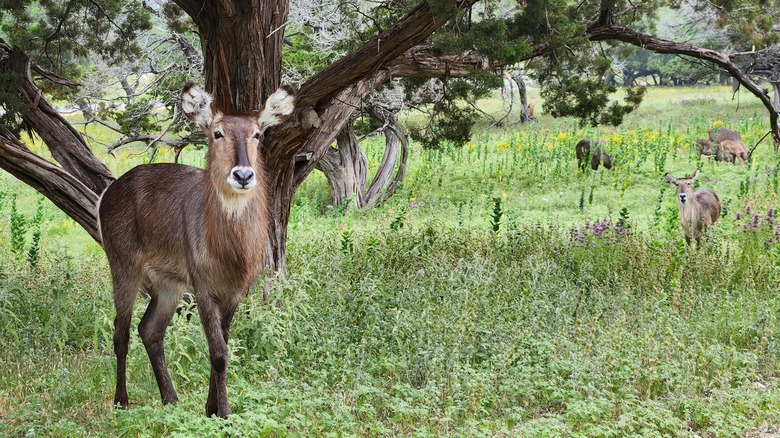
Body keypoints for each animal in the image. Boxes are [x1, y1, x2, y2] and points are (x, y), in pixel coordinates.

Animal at [97, 81, 292, 418]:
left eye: (257, 134)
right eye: (217, 133)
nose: (243, 175)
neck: (232, 251)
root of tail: (111, 189)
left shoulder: (233, 293)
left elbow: (223, 347)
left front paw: (211, 408)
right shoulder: (203, 290)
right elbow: (218, 353)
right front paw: (223, 413)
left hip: (168, 284)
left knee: (149, 330)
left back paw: (170, 399)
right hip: (123, 267)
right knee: (120, 332)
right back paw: (121, 400)